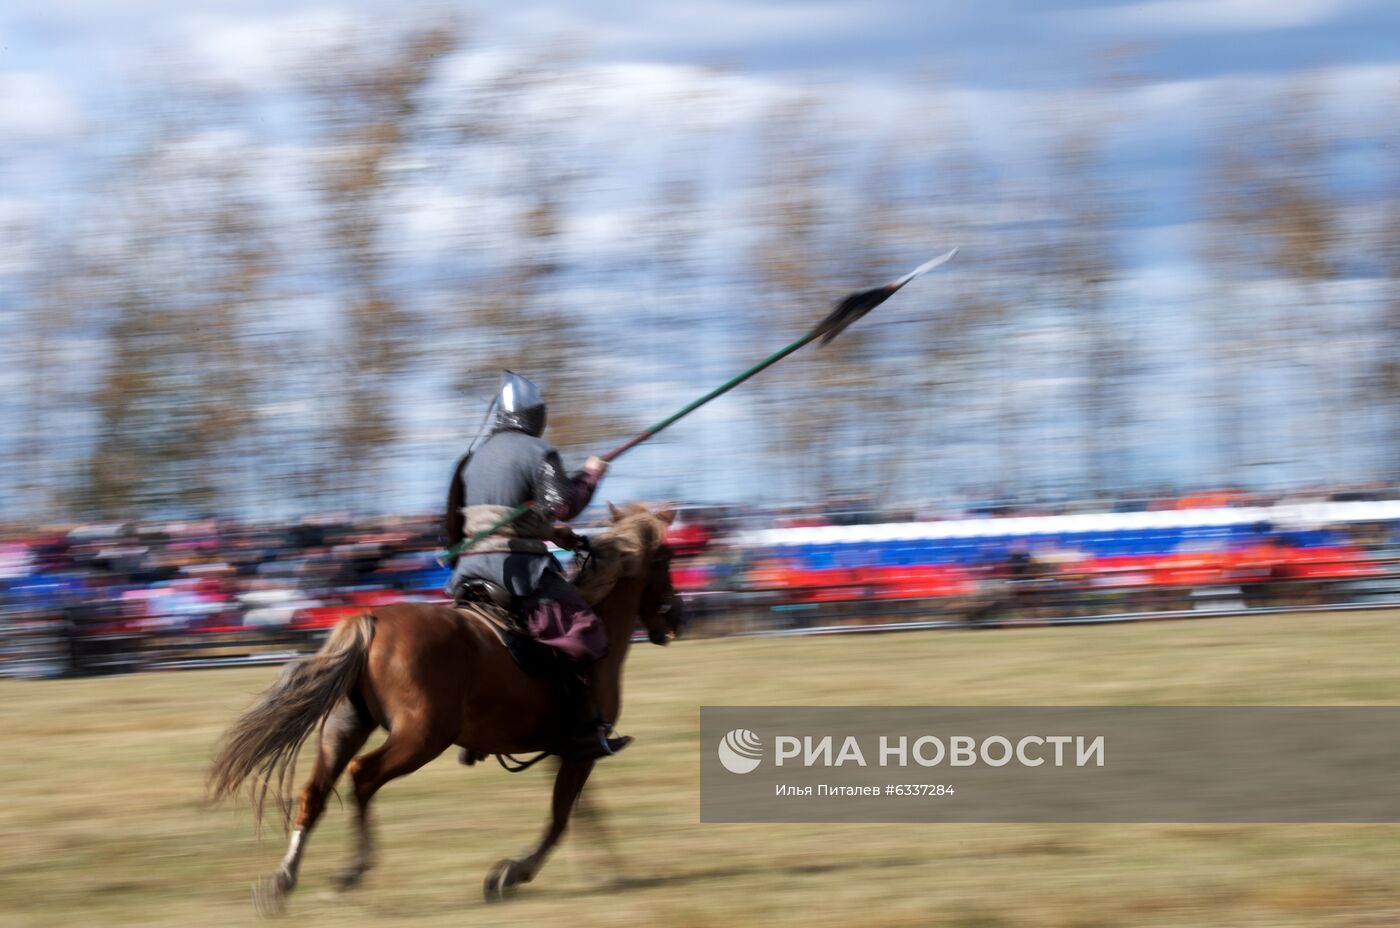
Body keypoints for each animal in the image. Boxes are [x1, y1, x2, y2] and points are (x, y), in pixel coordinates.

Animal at [208, 503, 683, 912]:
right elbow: (561, 818)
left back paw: (282, 882)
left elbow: (580, 814)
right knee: (363, 777)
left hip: (345, 727)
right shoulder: (581, 750)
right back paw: (352, 871)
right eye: (667, 557)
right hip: (421, 737)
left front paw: (603, 870)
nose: (676, 617)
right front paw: (514, 873)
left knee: (314, 793)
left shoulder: (564, 750)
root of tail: (370, 620)